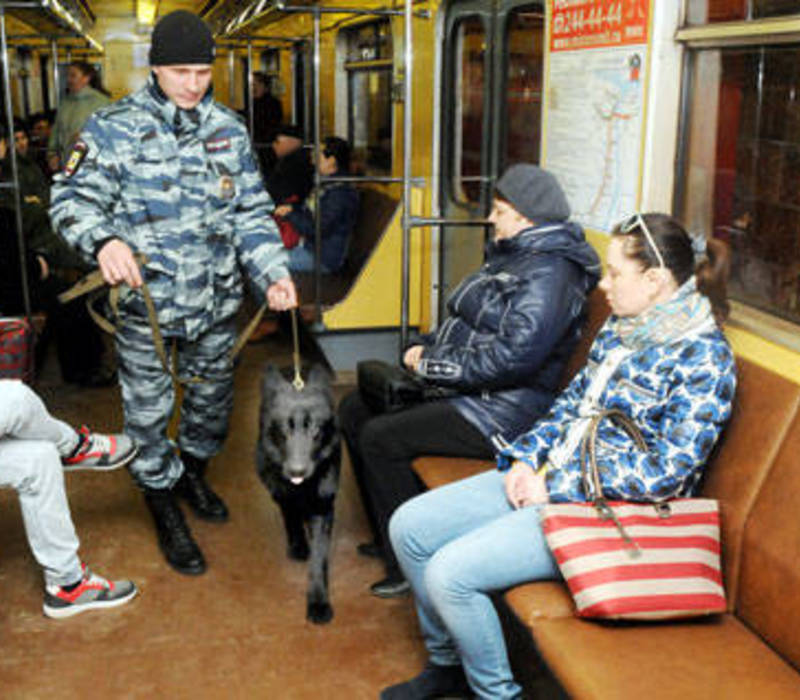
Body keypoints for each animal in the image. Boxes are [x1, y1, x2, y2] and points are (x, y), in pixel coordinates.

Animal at [256, 366, 340, 624]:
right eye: (285, 429)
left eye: (314, 429)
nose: (296, 471)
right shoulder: (282, 492)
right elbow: (290, 515)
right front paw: (299, 544)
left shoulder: (323, 506)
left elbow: (319, 558)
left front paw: (318, 602)